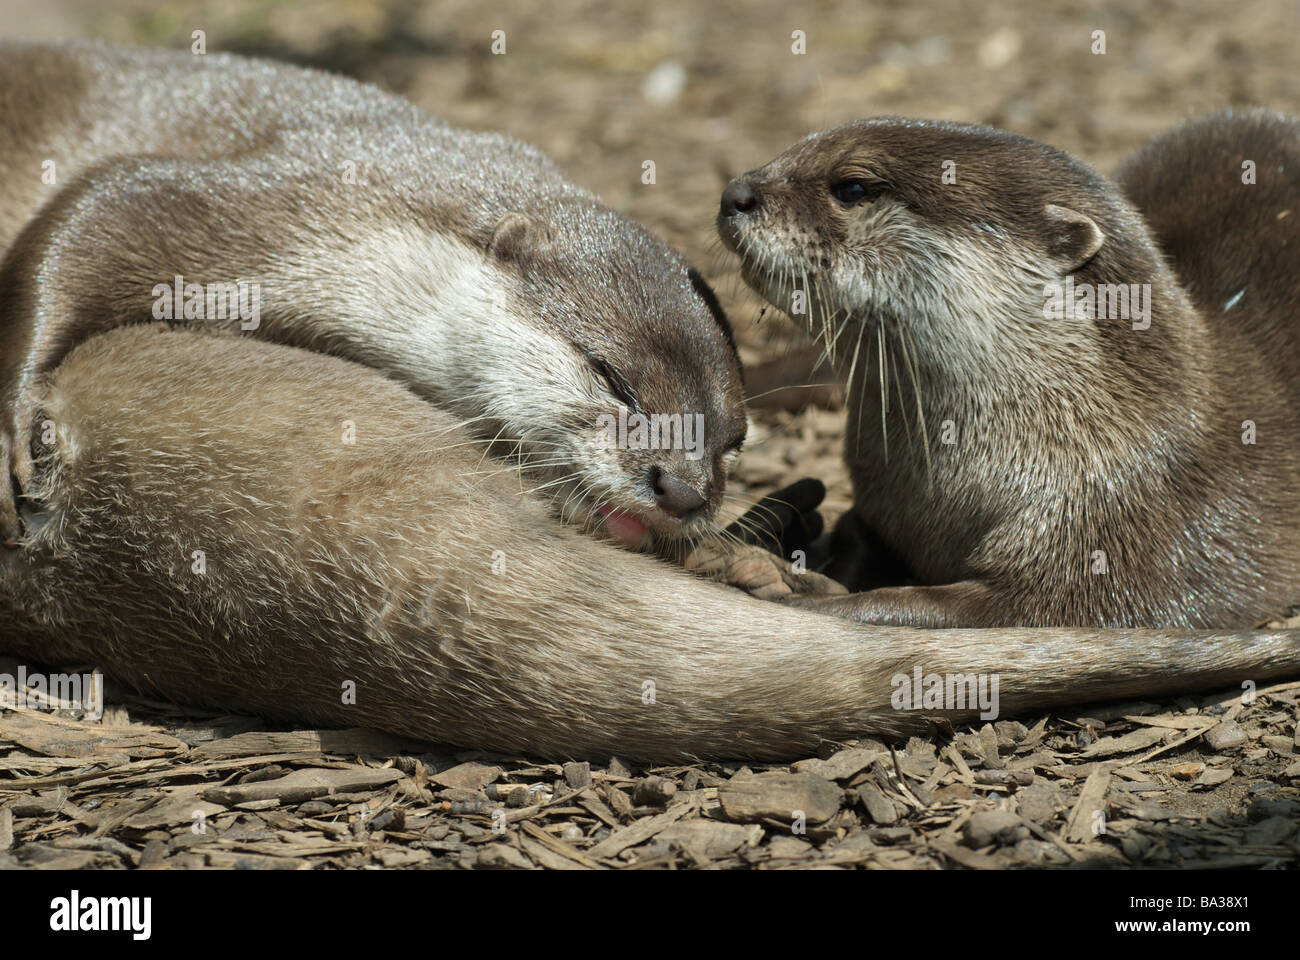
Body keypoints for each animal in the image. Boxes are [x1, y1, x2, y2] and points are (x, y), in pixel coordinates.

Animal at [0, 41, 754, 556]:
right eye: (613, 377)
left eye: (733, 440)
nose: (683, 491)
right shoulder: (277, 197)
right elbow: (97, 209)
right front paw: (18, 426)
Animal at [717, 110, 1300, 629]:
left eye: (853, 187)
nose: (734, 193)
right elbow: (861, 537)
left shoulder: (1116, 536)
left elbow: (956, 611)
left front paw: (789, 587)